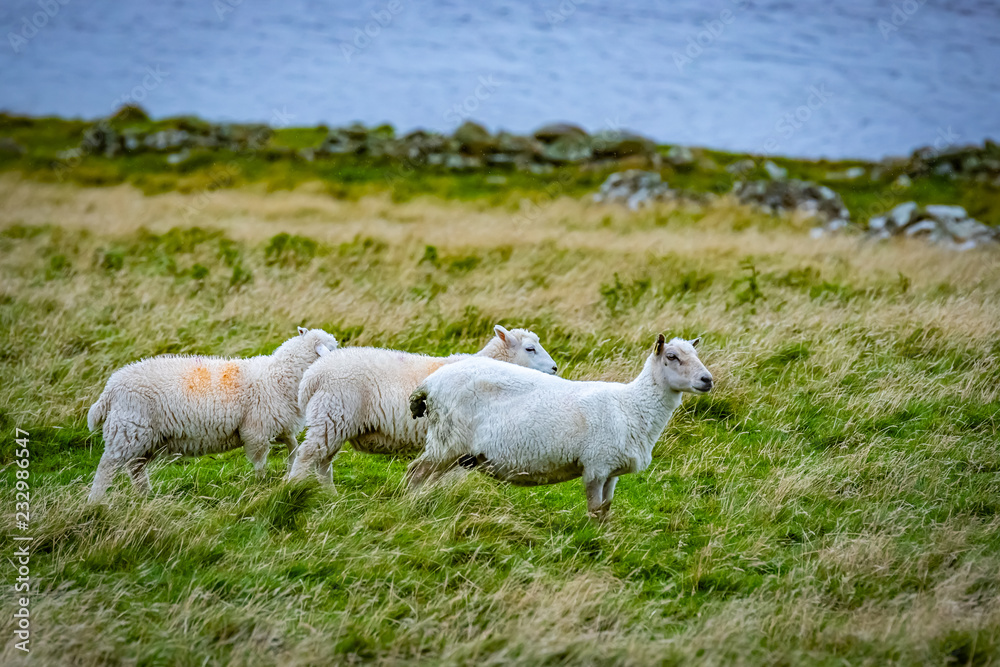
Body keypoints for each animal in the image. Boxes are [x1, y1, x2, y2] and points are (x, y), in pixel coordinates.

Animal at [86, 327, 340, 502]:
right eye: (333, 348)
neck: (278, 376)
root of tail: (111, 387)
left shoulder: (278, 425)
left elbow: (293, 447)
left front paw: (290, 473)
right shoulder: (256, 430)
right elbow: (260, 462)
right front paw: (262, 483)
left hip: (142, 436)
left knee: (135, 467)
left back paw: (145, 495)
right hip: (128, 430)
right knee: (107, 467)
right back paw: (96, 501)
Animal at [286, 325, 558, 485]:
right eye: (530, 349)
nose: (555, 368)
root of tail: (314, 374)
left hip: (334, 421)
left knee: (323, 462)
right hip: (332, 417)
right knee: (307, 456)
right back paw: (294, 489)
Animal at [405, 334, 712, 520]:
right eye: (671, 357)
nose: (708, 380)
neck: (631, 406)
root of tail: (430, 383)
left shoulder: (611, 471)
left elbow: (606, 510)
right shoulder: (595, 466)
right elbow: (594, 510)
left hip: (455, 451)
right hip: (446, 441)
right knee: (414, 474)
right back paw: (407, 507)